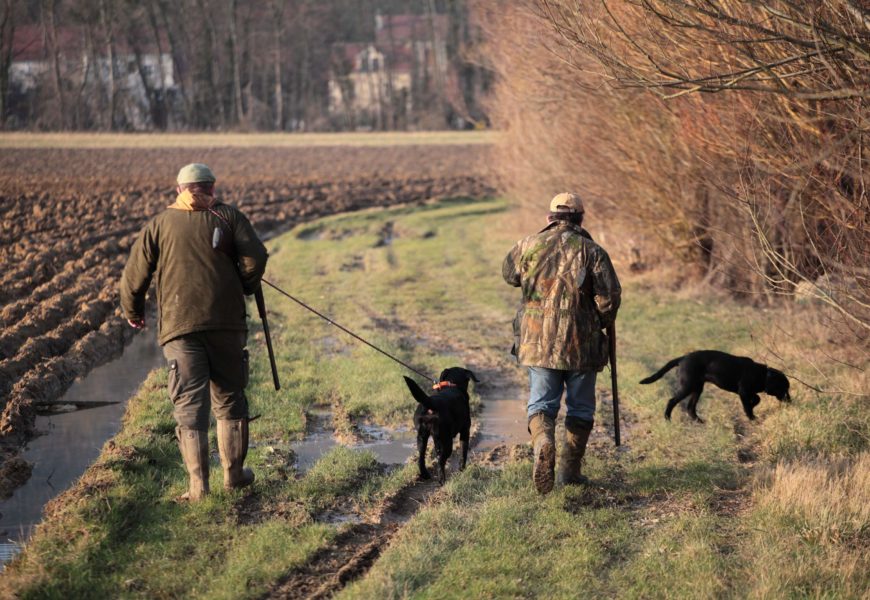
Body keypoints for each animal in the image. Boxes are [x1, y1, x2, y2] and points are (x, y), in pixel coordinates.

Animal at [640, 350, 792, 424]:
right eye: (784, 388)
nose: (790, 402)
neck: (762, 375)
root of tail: (682, 359)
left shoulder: (746, 392)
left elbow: (756, 398)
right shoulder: (743, 391)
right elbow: (750, 404)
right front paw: (752, 418)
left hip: (697, 388)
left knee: (690, 407)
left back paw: (699, 421)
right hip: (687, 386)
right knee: (672, 401)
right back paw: (667, 419)